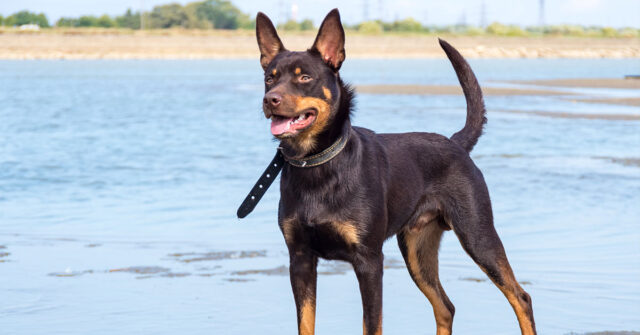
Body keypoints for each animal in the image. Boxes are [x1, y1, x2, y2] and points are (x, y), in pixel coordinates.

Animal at [252, 8, 536, 335]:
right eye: (269, 78)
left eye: (305, 77)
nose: (270, 99)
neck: (317, 164)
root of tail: (456, 143)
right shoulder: (300, 259)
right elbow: (305, 324)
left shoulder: (369, 261)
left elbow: (371, 324)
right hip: (416, 250)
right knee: (446, 307)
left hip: (477, 234)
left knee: (520, 297)